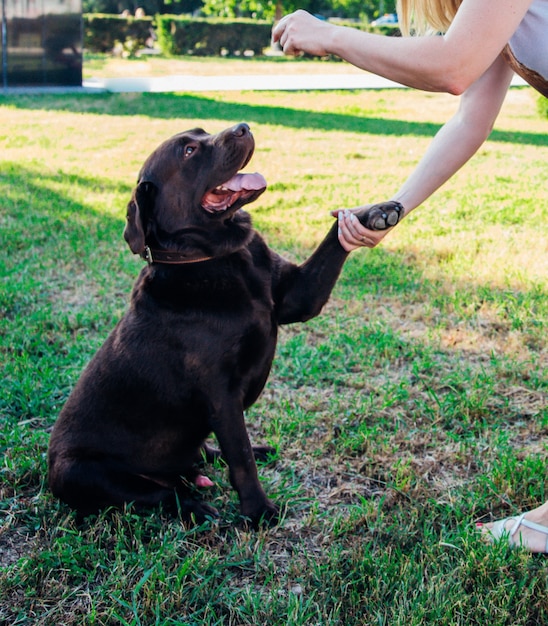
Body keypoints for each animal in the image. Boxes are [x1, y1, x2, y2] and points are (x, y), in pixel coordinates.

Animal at [48, 123, 402, 528]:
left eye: (201, 131)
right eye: (188, 151)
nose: (242, 127)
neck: (217, 256)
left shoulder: (299, 295)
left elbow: (334, 237)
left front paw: (376, 212)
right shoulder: (221, 392)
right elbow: (240, 457)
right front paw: (259, 511)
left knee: (201, 455)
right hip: (80, 471)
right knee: (161, 494)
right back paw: (196, 507)